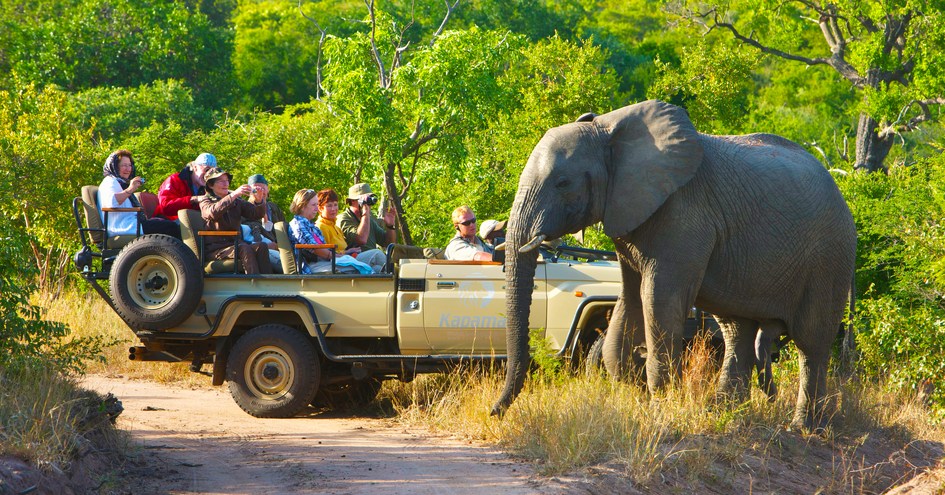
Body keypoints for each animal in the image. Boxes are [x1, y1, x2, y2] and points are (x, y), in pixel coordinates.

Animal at [494, 100, 856, 430]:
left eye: (563, 183)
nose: (495, 412)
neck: (609, 131)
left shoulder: (683, 214)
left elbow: (658, 298)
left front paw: (660, 412)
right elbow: (630, 300)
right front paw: (636, 388)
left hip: (830, 259)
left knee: (811, 343)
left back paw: (804, 427)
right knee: (738, 332)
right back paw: (727, 417)